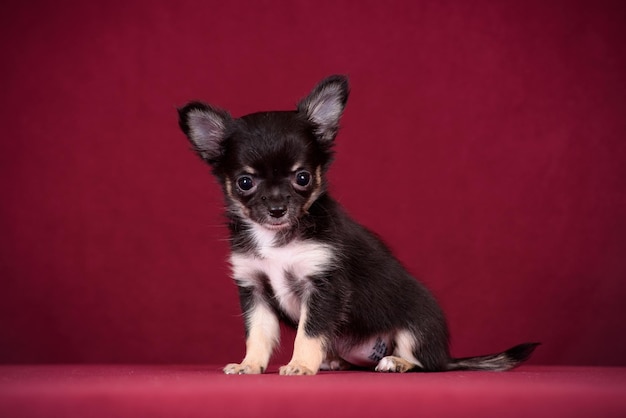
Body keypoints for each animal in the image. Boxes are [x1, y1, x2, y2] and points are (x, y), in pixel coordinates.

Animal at [177, 75, 536, 376]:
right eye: (245, 182)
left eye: (302, 177)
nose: (277, 209)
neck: (277, 237)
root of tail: (446, 355)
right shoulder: (254, 289)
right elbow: (258, 334)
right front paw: (249, 365)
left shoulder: (324, 287)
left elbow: (309, 332)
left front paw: (300, 365)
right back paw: (333, 361)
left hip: (417, 326)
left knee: (425, 362)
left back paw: (396, 362)